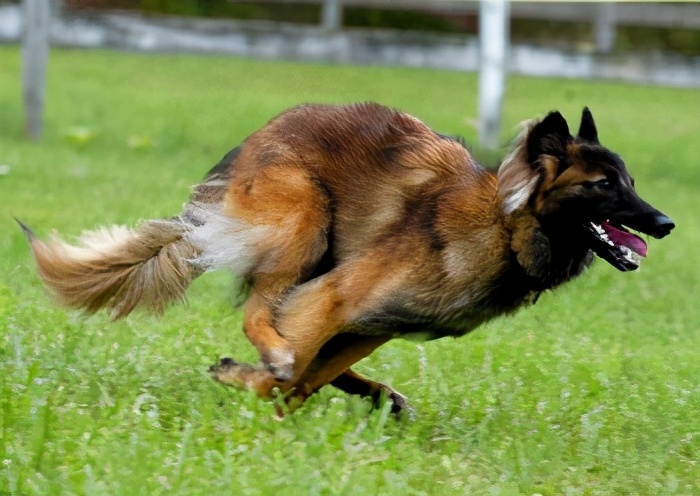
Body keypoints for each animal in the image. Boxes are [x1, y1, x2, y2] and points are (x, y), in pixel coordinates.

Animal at [24, 103, 676, 414]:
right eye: (603, 185)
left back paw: (377, 394)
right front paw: (249, 381)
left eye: (631, 181)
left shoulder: (377, 322)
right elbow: (291, 375)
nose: (666, 224)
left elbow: (309, 379)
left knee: (300, 347)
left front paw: (270, 394)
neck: (503, 224)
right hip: (303, 224)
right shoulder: (337, 298)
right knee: (261, 312)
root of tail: (264, 132)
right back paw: (274, 358)